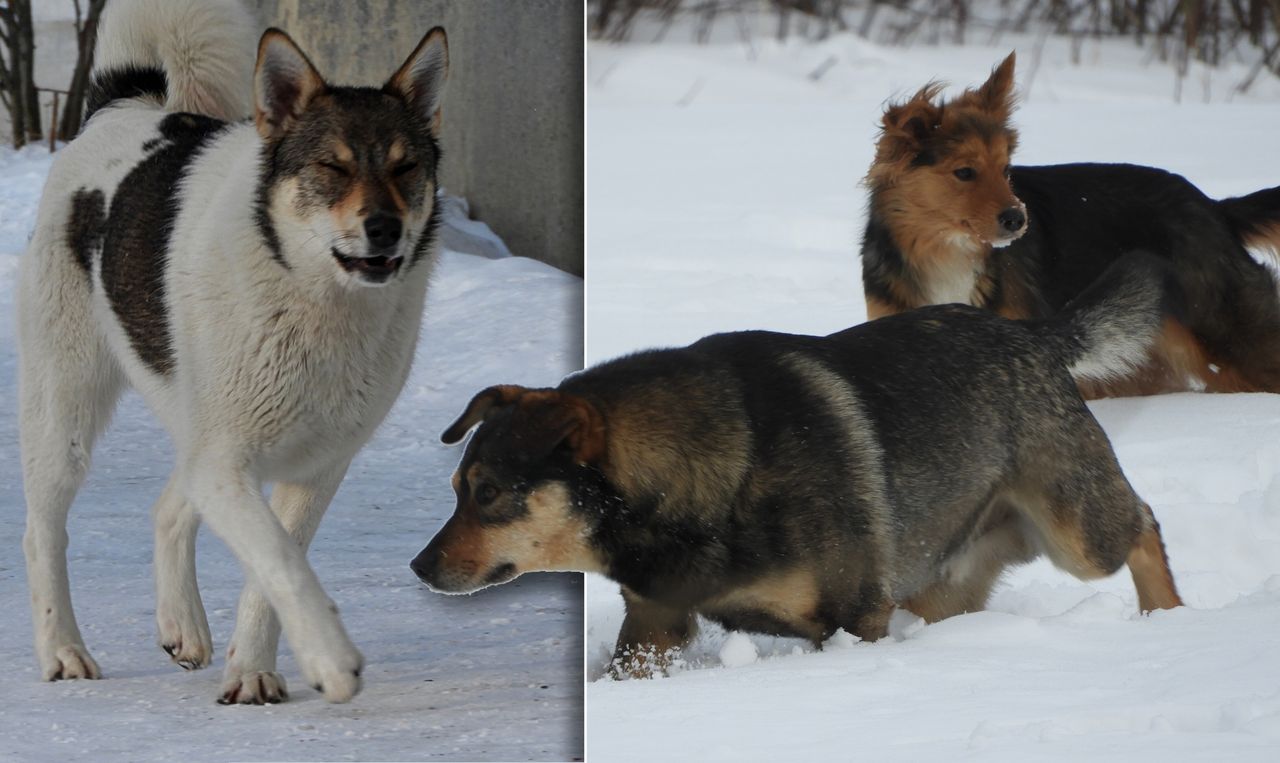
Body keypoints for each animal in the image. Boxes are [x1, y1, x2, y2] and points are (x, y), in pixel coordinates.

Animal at [18, 0, 450, 701]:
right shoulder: (227, 462)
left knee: (168, 507)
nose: (384, 229)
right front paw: (332, 660)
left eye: (405, 167)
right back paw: (63, 651)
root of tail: (120, 107)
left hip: (194, 423)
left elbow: (273, 566)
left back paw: (183, 627)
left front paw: (251, 670)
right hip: (66, 414)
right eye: (332, 167)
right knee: (42, 533)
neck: (314, 299)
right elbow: (280, 560)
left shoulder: (315, 467)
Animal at [855, 53, 1280, 399]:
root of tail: (1214, 207)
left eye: (1006, 170)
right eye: (964, 172)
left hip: (1222, 330)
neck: (947, 251)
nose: (1017, 219)